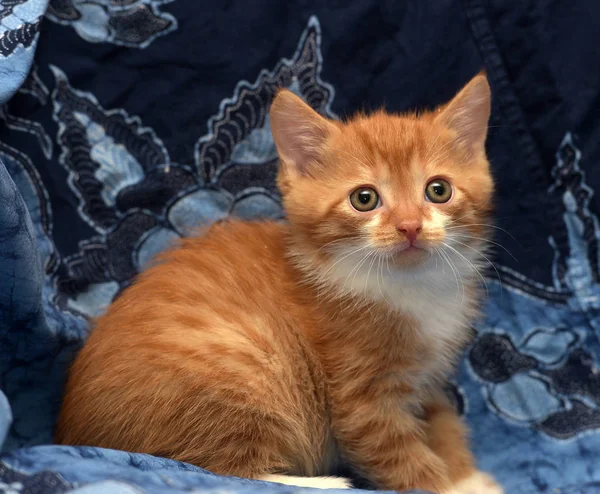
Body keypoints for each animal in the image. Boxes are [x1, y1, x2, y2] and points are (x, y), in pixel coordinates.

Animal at [55, 74, 502, 494]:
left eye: (438, 190)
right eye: (364, 199)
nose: (410, 226)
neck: (410, 288)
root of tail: (72, 432)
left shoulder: (429, 379)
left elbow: (444, 422)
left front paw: (466, 476)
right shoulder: (361, 401)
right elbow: (401, 456)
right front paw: (443, 483)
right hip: (246, 364)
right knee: (219, 469)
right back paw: (322, 482)